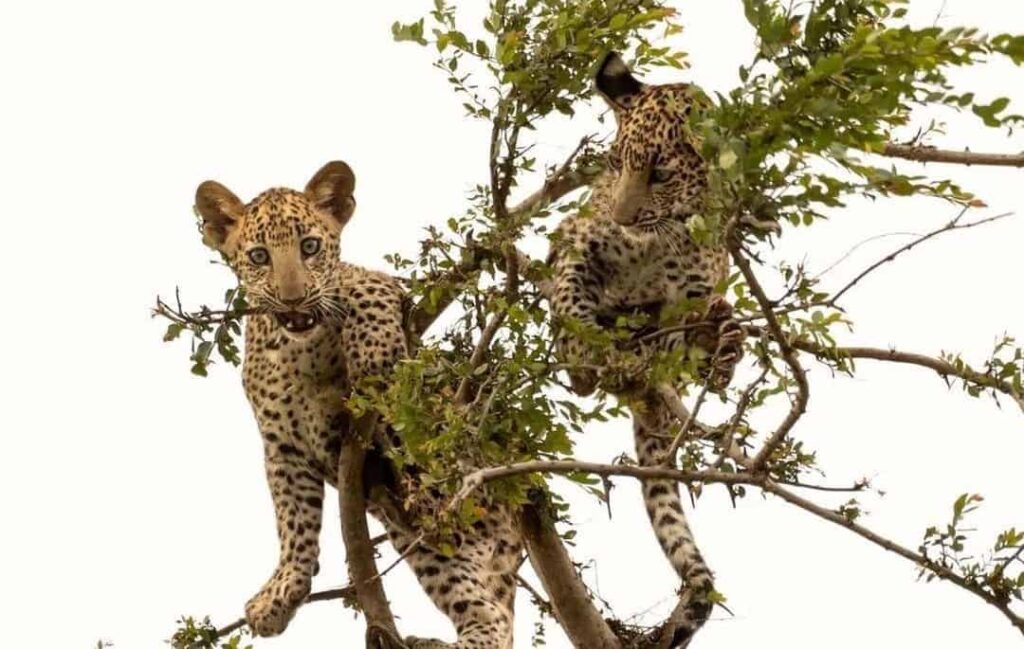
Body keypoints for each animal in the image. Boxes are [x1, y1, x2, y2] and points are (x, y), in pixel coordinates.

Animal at [193, 161, 522, 649]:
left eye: (310, 247)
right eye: (259, 256)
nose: (292, 298)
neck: (297, 350)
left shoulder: (383, 290)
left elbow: (363, 289)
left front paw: (369, 353)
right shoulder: (283, 448)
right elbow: (293, 523)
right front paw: (281, 595)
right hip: (428, 549)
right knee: (490, 615)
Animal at [546, 53, 748, 647]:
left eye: (660, 172)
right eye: (615, 163)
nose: (622, 216)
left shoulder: (690, 293)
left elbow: (677, 335)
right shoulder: (577, 236)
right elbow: (570, 290)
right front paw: (580, 349)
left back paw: (720, 341)